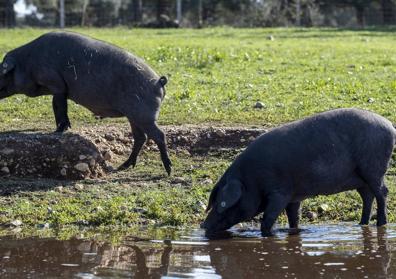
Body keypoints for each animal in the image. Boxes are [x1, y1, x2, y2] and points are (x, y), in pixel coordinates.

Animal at [0, 31, 170, 175]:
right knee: (140, 137)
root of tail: (158, 82)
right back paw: (123, 166)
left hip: (143, 115)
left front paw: (58, 131)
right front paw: (61, 129)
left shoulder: (57, 85)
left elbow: (59, 107)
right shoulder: (58, 89)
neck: (27, 62)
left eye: (3, 73)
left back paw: (168, 170)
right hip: (133, 116)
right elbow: (58, 107)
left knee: (158, 135)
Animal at [203, 108, 394, 237]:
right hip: (361, 179)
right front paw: (294, 231)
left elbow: (268, 219)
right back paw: (360, 225)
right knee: (367, 196)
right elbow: (294, 217)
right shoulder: (294, 197)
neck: (251, 181)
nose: (203, 226)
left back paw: (380, 224)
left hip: (373, 169)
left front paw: (268, 234)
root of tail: (391, 127)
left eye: (221, 203)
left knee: (382, 192)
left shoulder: (279, 193)